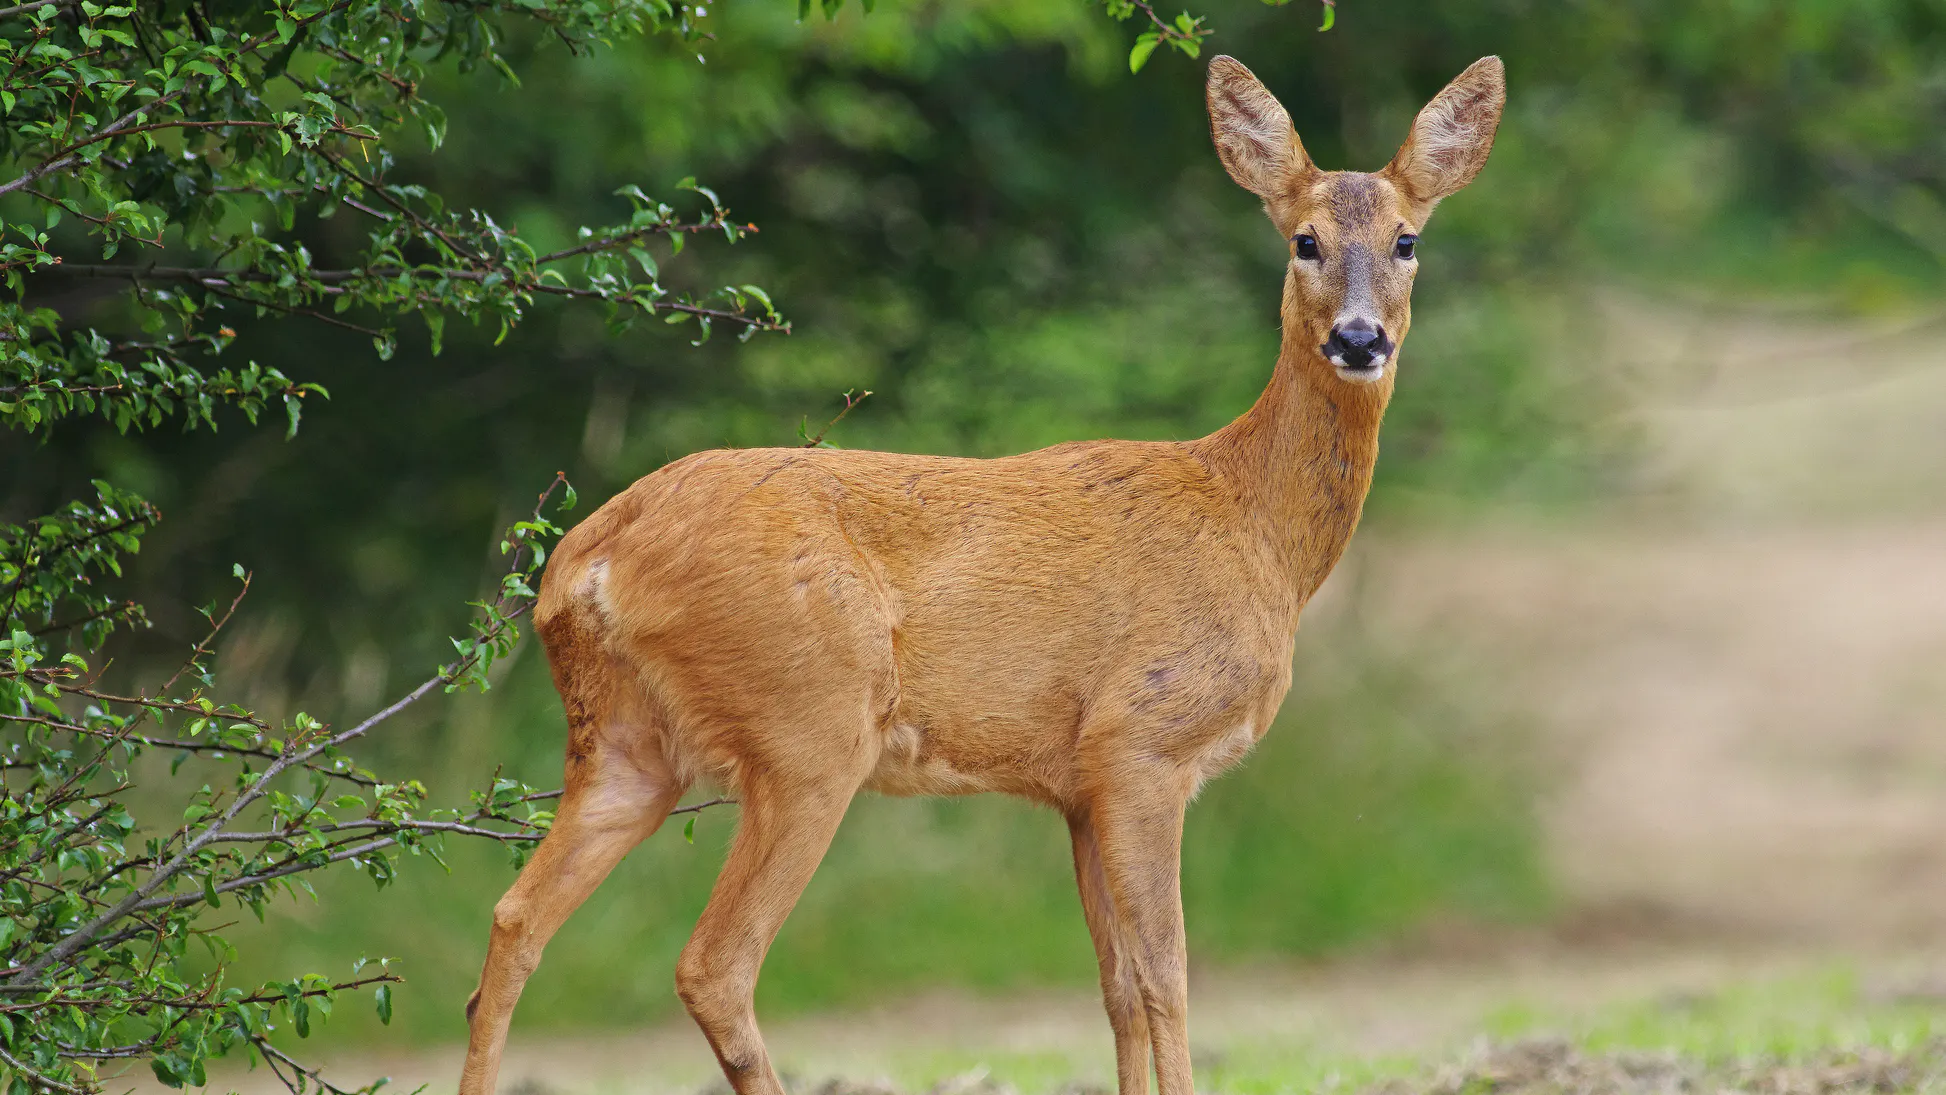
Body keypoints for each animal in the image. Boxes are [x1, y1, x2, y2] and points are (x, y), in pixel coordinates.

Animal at [458, 53, 1504, 1095]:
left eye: (1407, 239)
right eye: (1304, 240)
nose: (1360, 339)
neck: (1254, 528)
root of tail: (586, 563)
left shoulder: (1076, 783)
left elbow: (1118, 987)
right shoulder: (1142, 740)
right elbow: (1167, 975)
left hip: (627, 742)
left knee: (513, 920)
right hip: (808, 723)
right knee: (714, 963)